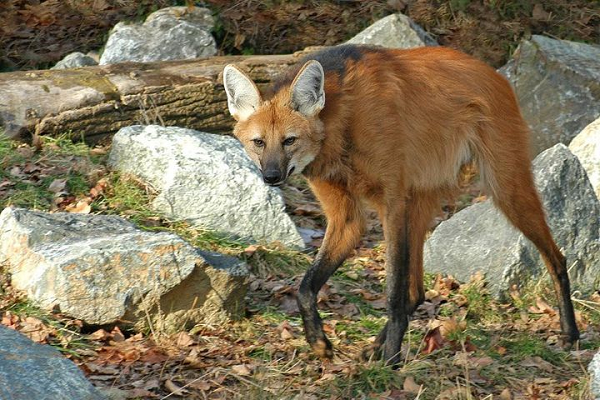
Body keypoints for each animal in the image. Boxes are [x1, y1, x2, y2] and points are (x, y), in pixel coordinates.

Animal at [223, 44, 580, 366]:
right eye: (259, 142)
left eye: (289, 141)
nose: (271, 176)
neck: (342, 125)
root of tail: (497, 74)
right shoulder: (349, 217)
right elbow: (306, 286)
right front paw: (320, 343)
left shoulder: (391, 203)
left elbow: (392, 291)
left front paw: (392, 360)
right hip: (422, 200)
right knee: (417, 292)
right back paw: (373, 348)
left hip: (505, 188)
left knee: (557, 257)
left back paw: (570, 333)